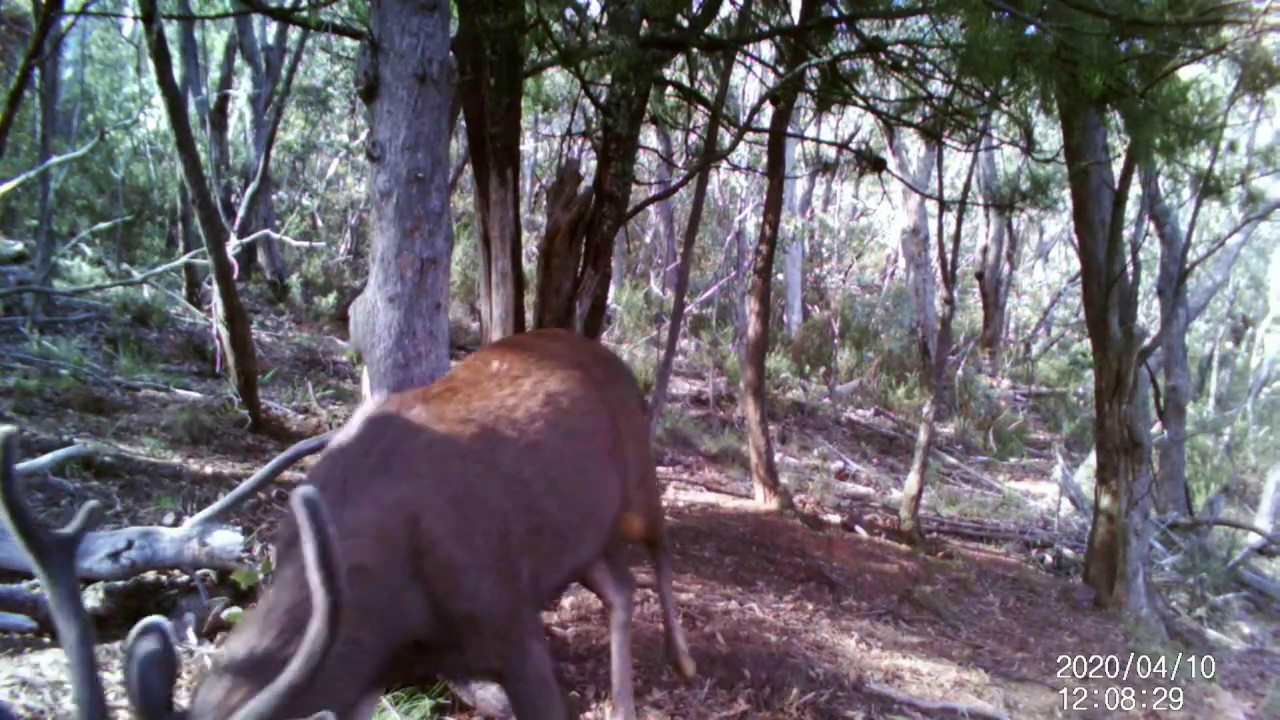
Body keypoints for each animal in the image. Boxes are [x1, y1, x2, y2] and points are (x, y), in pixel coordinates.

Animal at [0, 328, 697, 720]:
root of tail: (607, 352)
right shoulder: (369, 673)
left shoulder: (508, 619)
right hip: (582, 541)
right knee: (620, 589)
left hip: (639, 484)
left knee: (660, 553)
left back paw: (684, 661)